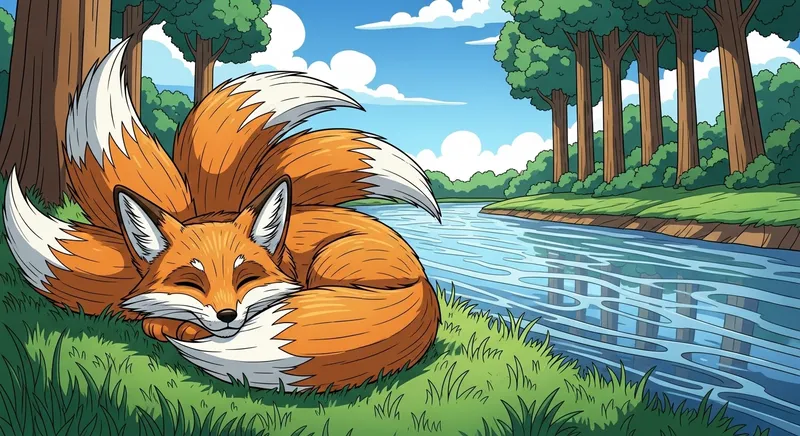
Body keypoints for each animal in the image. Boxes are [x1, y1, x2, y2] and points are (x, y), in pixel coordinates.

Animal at [3, 39, 442, 392]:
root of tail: (422, 280)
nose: (228, 316)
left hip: (333, 261)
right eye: (190, 282)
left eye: (245, 277)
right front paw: (168, 325)